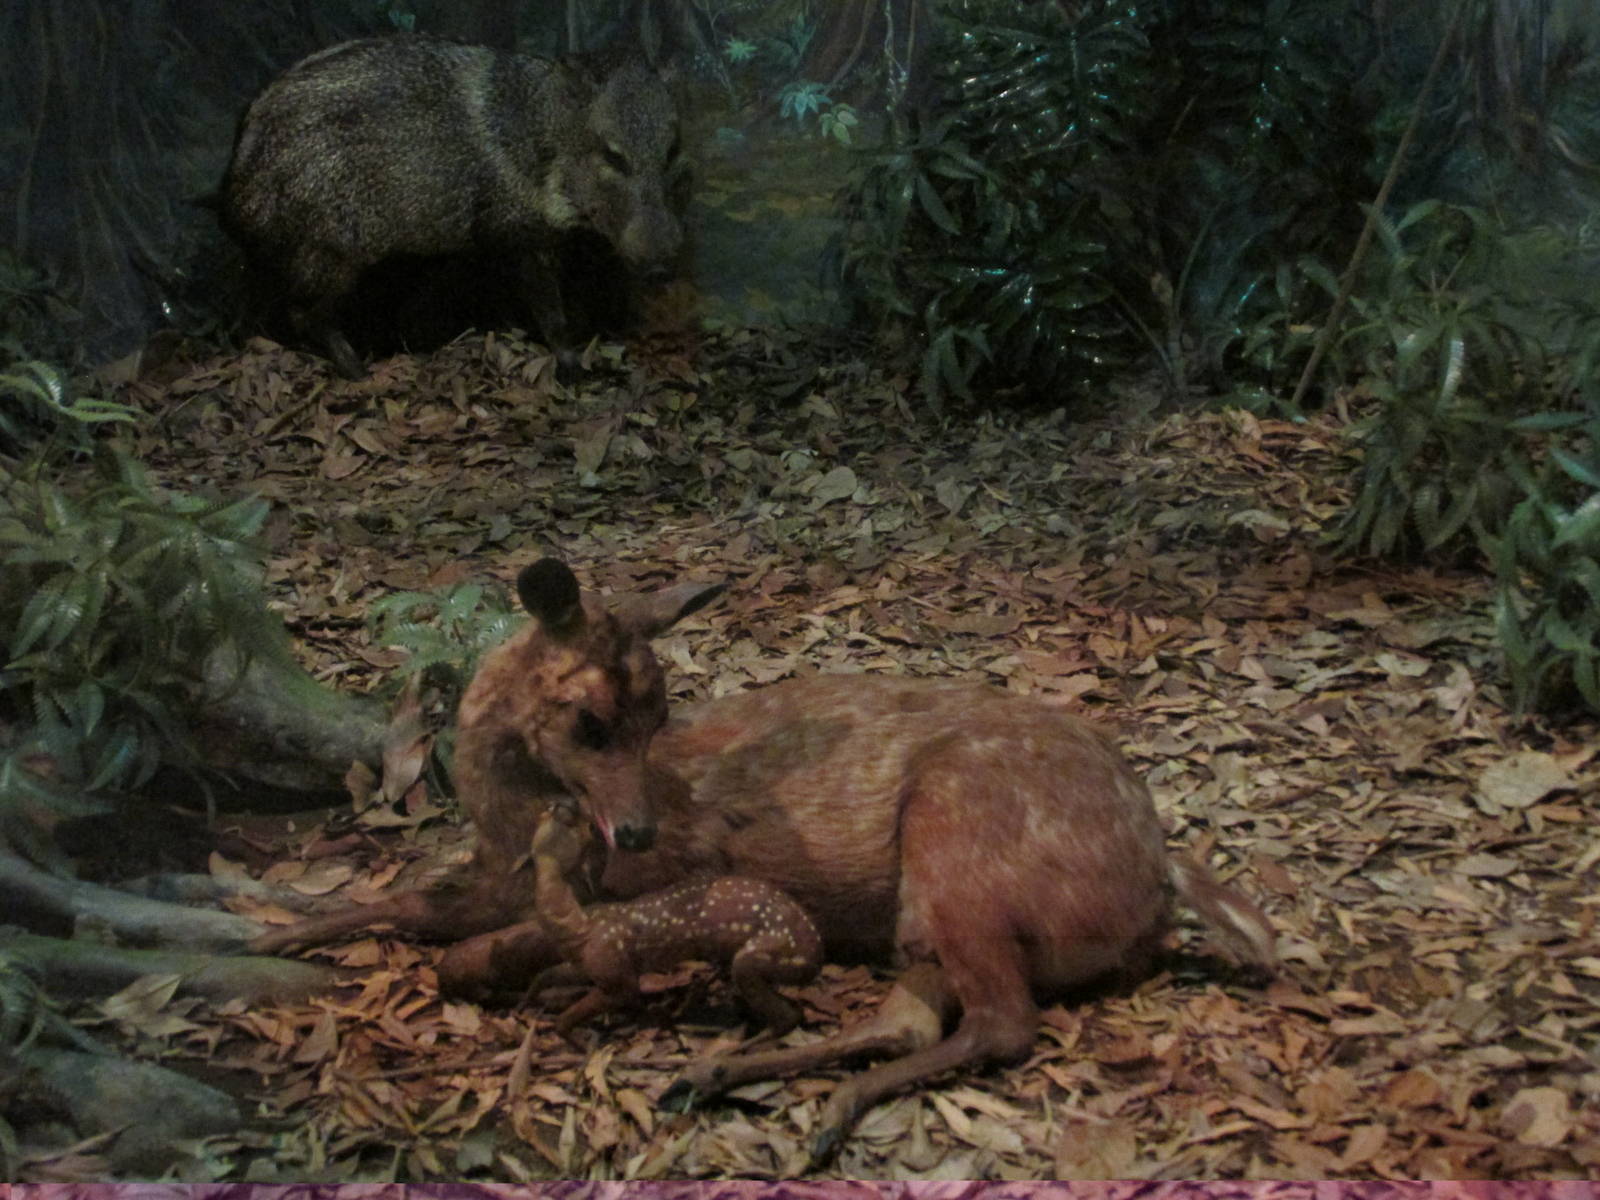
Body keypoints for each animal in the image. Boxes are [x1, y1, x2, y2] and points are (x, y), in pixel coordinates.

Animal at [524, 804, 822, 1039]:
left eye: (588, 825)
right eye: (543, 812)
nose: (562, 803)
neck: (579, 923)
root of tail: (816, 956)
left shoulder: (613, 967)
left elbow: (576, 1015)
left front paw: (576, 1039)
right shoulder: (586, 963)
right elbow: (547, 974)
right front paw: (526, 1000)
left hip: (767, 954)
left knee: (784, 1013)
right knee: (793, 1009)